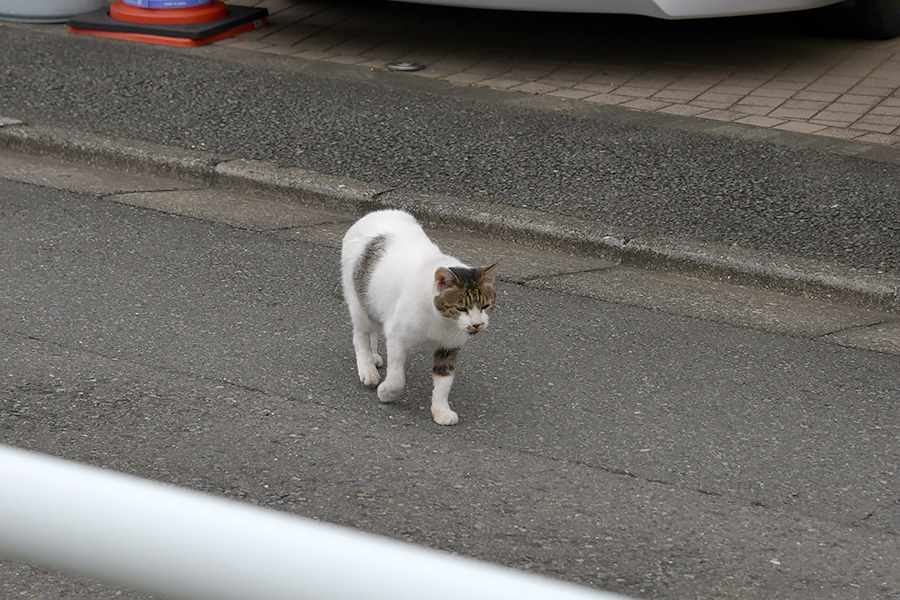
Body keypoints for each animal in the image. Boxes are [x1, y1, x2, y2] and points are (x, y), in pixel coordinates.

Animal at [342, 211, 500, 426]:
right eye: (461, 308)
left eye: (485, 306)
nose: (477, 324)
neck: (442, 321)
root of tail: (377, 212)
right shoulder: (397, 336)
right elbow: (397, 379)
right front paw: (386, 393)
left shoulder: (449, 346)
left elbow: (444, 382)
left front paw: (441, 410)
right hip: (359, 301)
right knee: (361, 335)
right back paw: (368, 368)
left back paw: (373, 356)